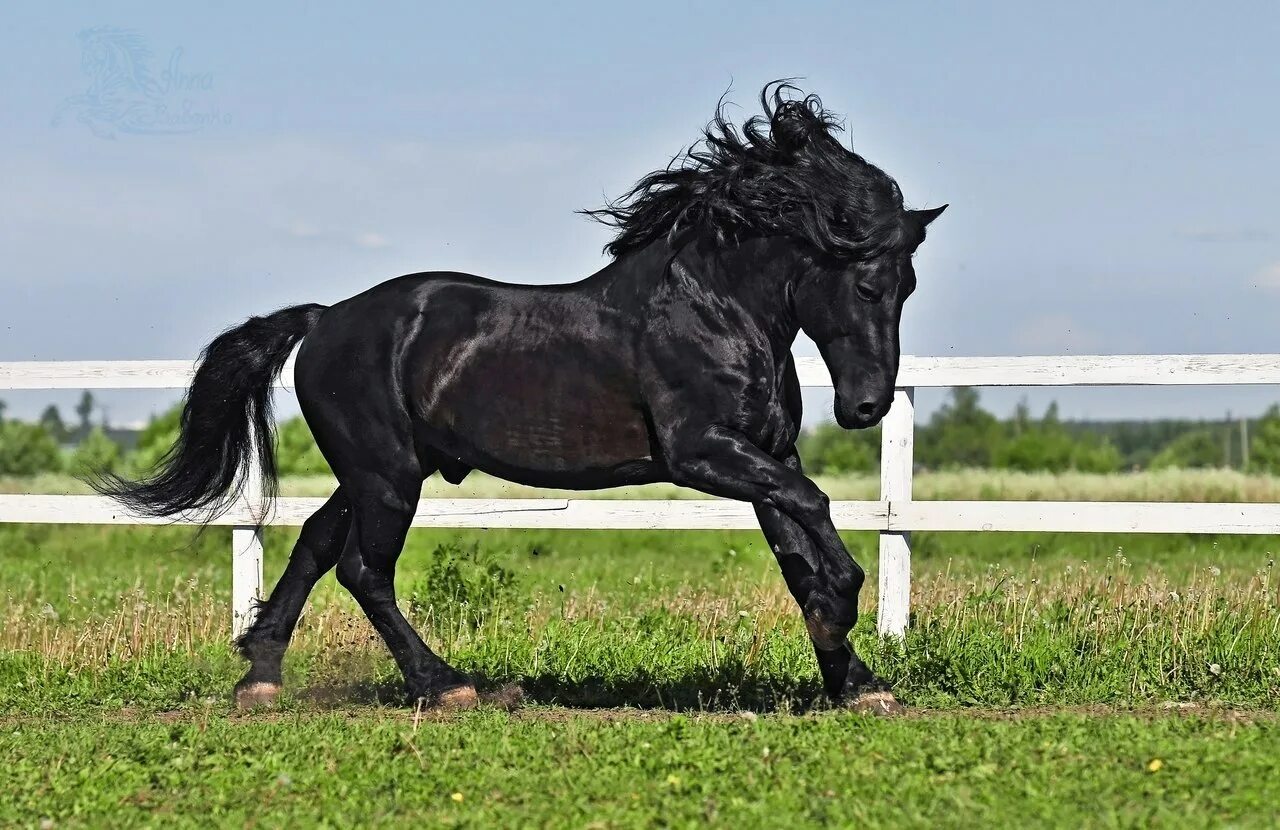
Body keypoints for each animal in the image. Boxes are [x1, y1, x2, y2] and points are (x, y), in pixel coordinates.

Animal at [97, 87, 942, 717]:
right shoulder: (703, 453)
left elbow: (796, 548)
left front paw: (855, 680)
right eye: (869, 284)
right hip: (387, 474)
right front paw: (845, 608)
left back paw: (261, 677)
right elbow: (816, 507)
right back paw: (446, 686)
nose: (866, 408)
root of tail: (326, 318)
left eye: (909, 285)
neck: (716, 308)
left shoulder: (764, 452)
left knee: (313, 544)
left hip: (379, 470)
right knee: (365, 571)